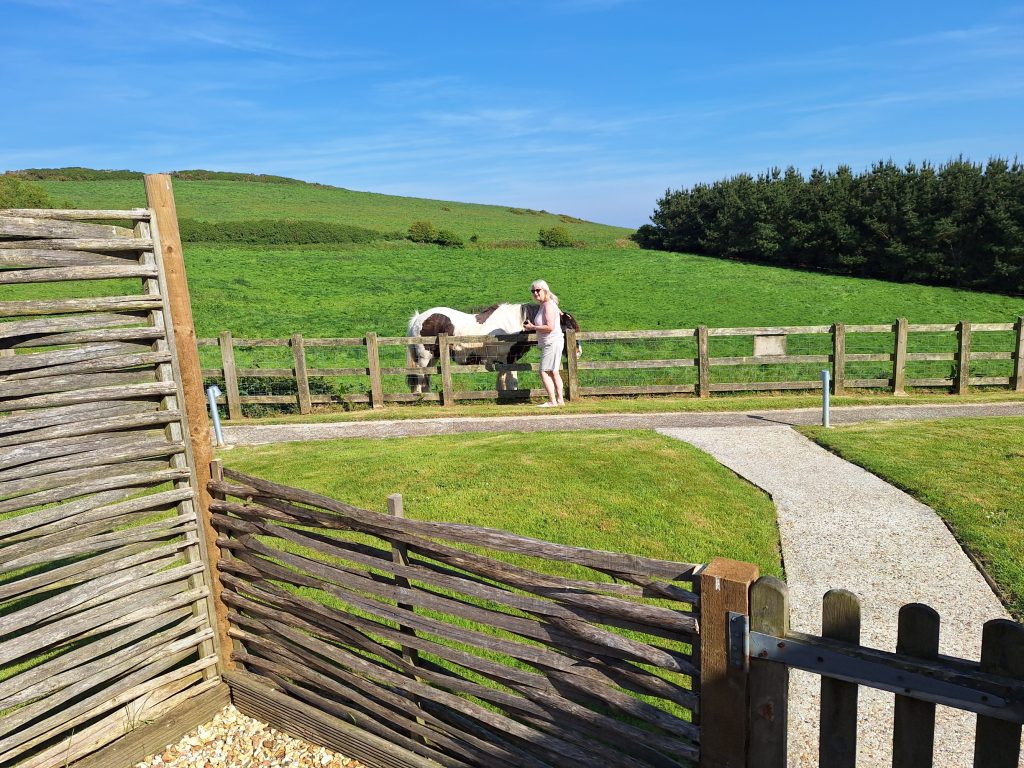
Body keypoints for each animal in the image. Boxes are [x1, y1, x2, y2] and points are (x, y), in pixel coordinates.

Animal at [406, 303, 582, 395]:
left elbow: (501, 381)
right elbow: (512, 381)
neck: (515, 326)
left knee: (426, 377)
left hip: (433, 358)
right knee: (420, 377)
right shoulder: (509, 360)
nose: (578, 352)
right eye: (569, 326)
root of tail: (418, 318)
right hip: (424, 358)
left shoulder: (502, 361)